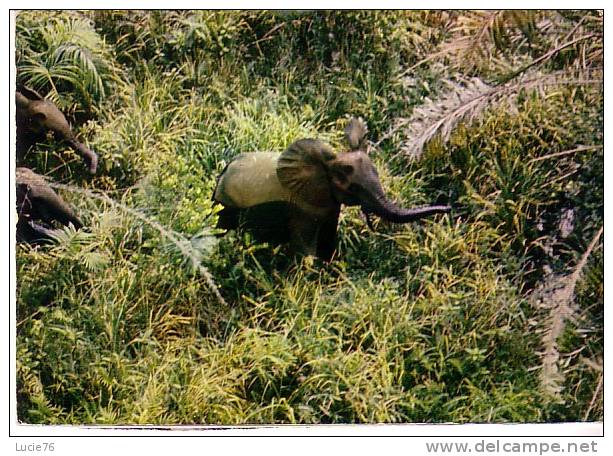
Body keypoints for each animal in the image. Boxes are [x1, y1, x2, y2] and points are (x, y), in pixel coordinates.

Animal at [212, 117, 450, 260]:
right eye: (353, 187)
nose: (449, 208)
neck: (326, 166)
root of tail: (223, 172)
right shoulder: (301, 209)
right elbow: (305, 252)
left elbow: (328, 241)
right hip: (227, 205)